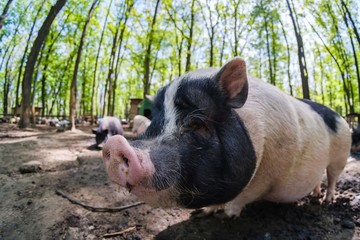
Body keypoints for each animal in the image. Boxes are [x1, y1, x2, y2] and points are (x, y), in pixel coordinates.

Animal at [102, 57, 352, 218]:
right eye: (154, 119)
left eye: (197, 122)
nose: (115, 145)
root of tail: (338, 115)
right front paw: (204, 212)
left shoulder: (264, 178)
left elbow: (241, 198)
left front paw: (227, 215)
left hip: (341, 155)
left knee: (332, 177)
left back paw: (326, 201)